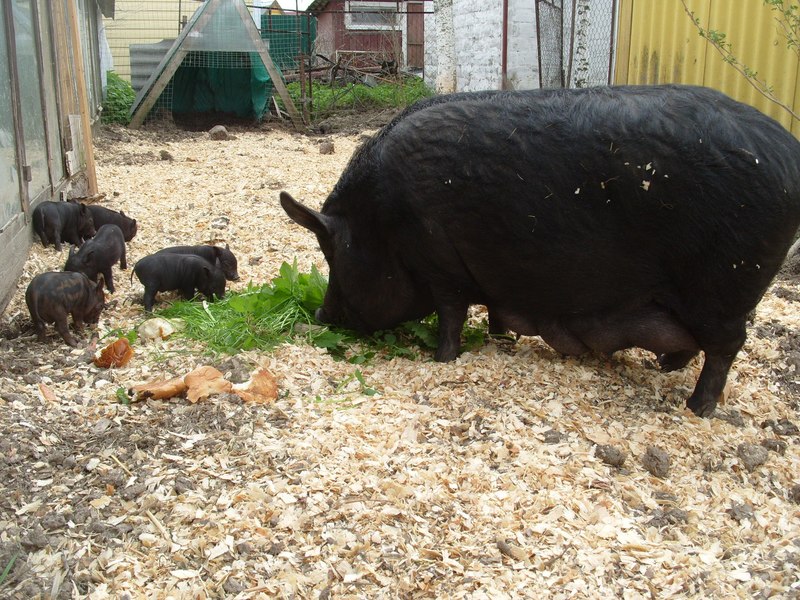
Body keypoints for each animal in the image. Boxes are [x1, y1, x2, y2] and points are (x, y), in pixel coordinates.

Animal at [284, 85, 800, 418]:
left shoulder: (440, 264)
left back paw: (698, 409)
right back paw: (663, 366)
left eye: (334, 255)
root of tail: (788, 154)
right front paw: (500, 340)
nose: (321, 315)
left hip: (727, 285)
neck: (382, 223)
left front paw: (441, 359)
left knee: (727, 348)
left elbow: (451, 315)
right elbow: (492, 311)